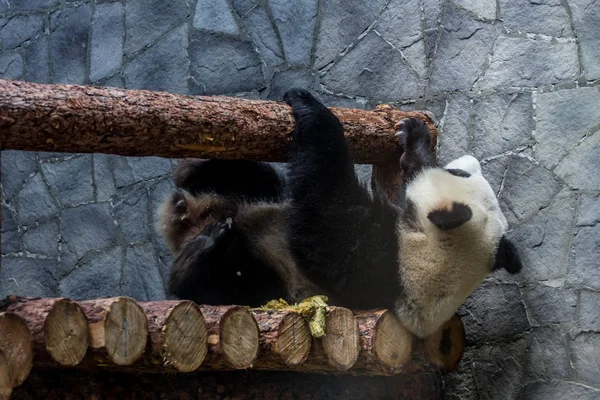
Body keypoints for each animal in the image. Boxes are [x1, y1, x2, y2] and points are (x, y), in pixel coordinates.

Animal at [158, 88, 520, 338]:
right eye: (460, 172)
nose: (470, 160)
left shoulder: (380, 257)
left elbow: (324, 214)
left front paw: (309, 105)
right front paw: (413, 137)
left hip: (260, 278)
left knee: (223, 273)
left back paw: (203, 246)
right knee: (252, 178)